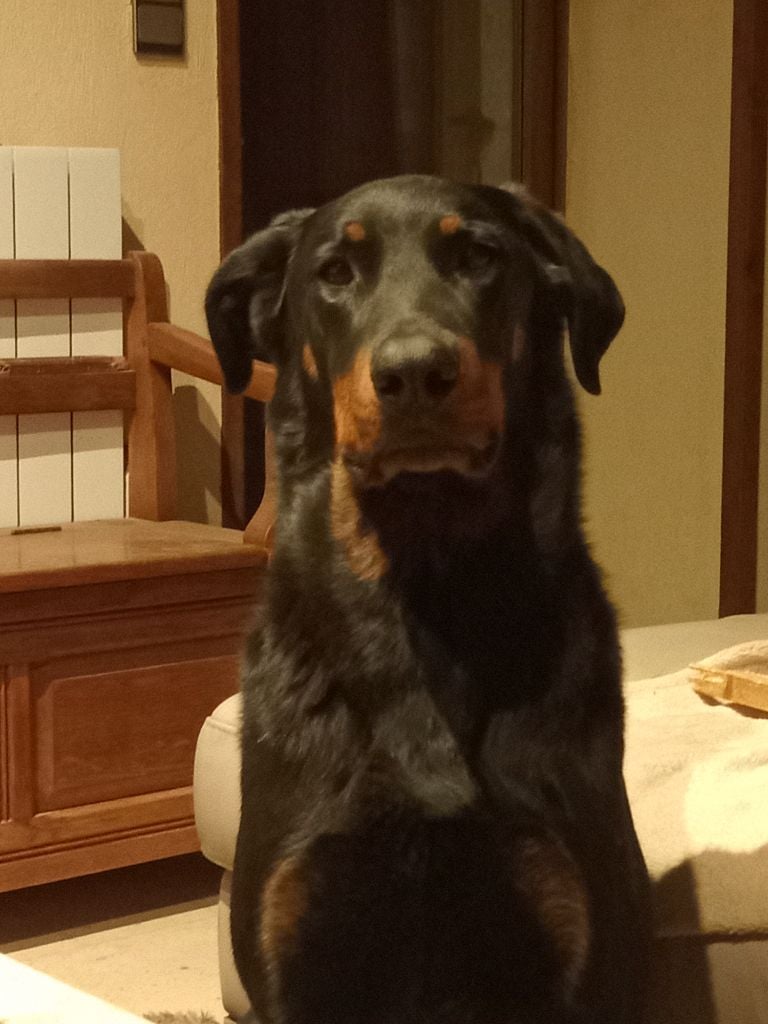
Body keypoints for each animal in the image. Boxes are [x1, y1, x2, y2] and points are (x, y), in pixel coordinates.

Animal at [206, 175, 651, 1024]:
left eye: (480, 256)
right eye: (335, 271)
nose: (415, 372)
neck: (422, 581)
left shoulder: (579, 943)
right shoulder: (292, 947)